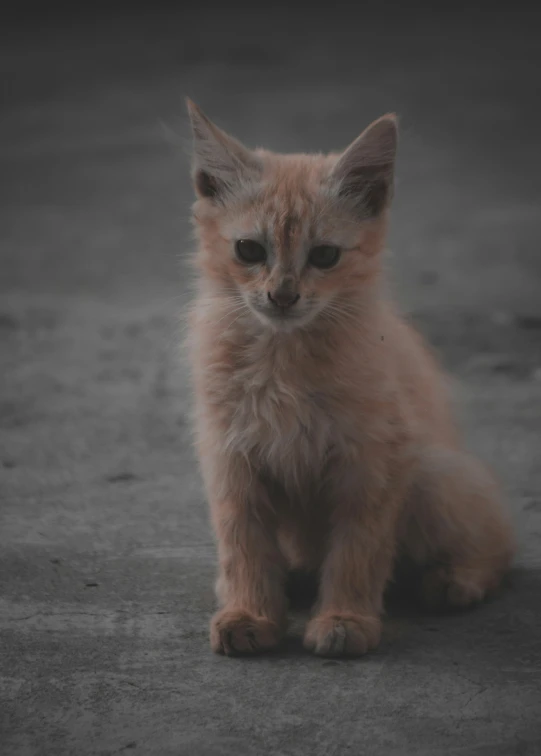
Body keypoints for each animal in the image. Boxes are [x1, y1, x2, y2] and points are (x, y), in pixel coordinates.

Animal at [186, 99, 516, 656]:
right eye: (249, 251)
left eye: (325, 256)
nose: (282, 296)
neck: (284, 359)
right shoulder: (232, 461)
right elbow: (244, 546)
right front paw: (249, 612)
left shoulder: (373, 465)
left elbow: (356, 552)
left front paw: (344, 618)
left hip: (434, 476)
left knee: (500, 544)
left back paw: (455, 581)